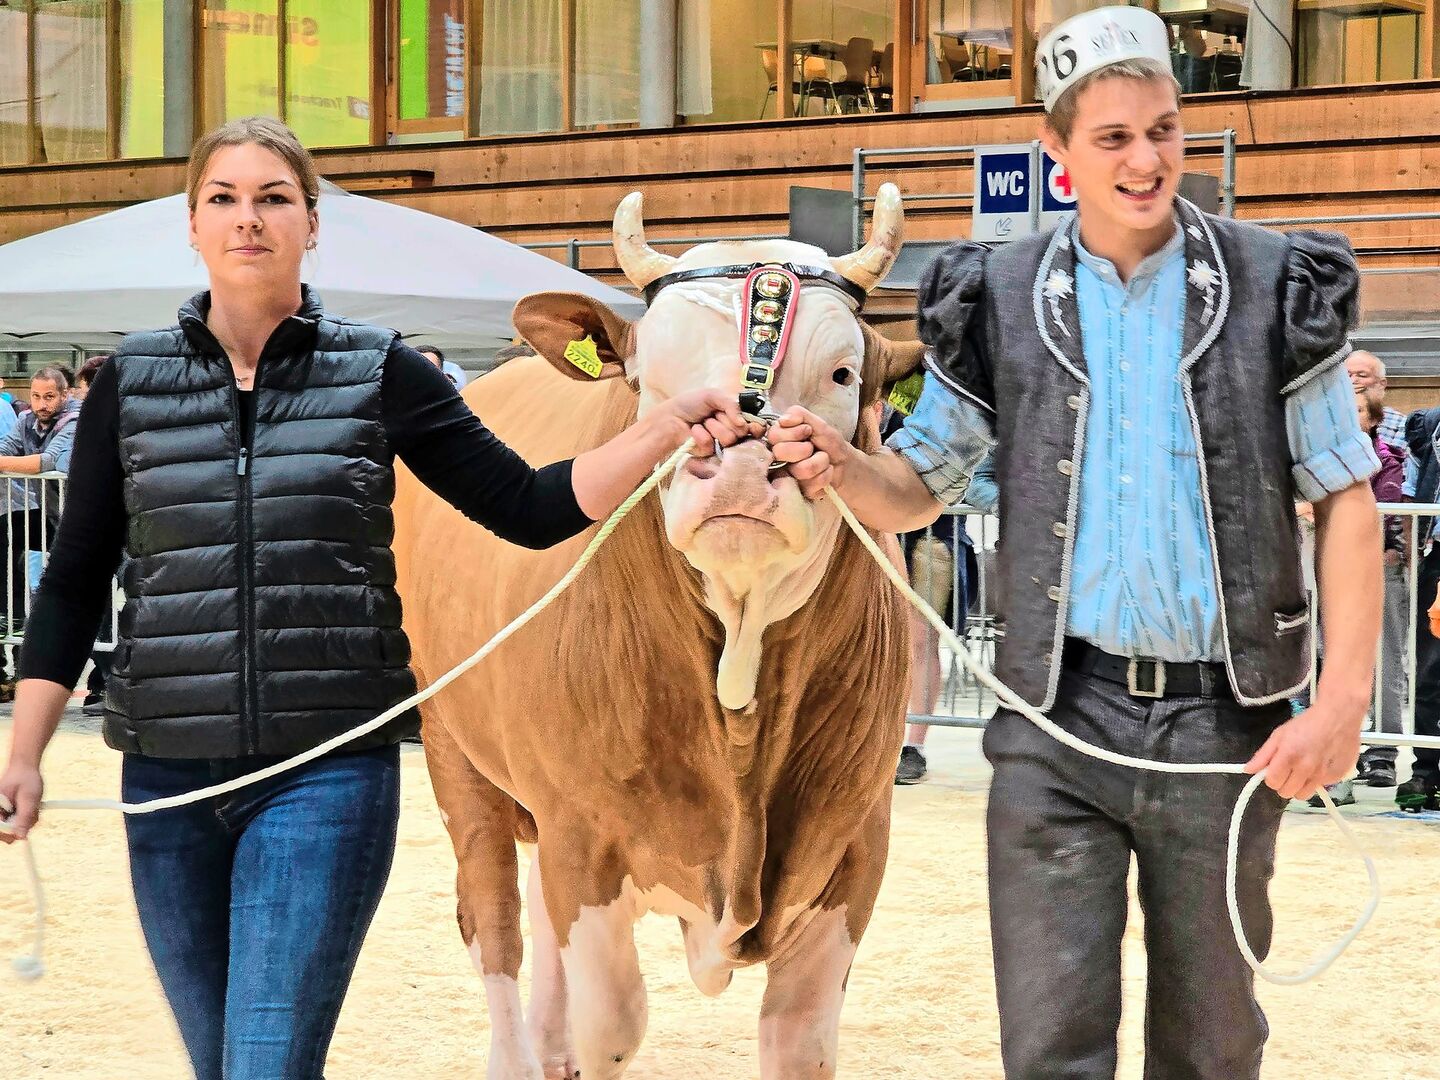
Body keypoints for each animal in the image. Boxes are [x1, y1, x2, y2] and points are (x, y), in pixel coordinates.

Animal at [393, 184, 925, 1080]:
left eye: (843, 372)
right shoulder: (584, 834)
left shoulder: (857, 844)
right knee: (494, 922)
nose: (739, 463)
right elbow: (614, 1023)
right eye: (654, 380)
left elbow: (798, 1039)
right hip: (450, 744)